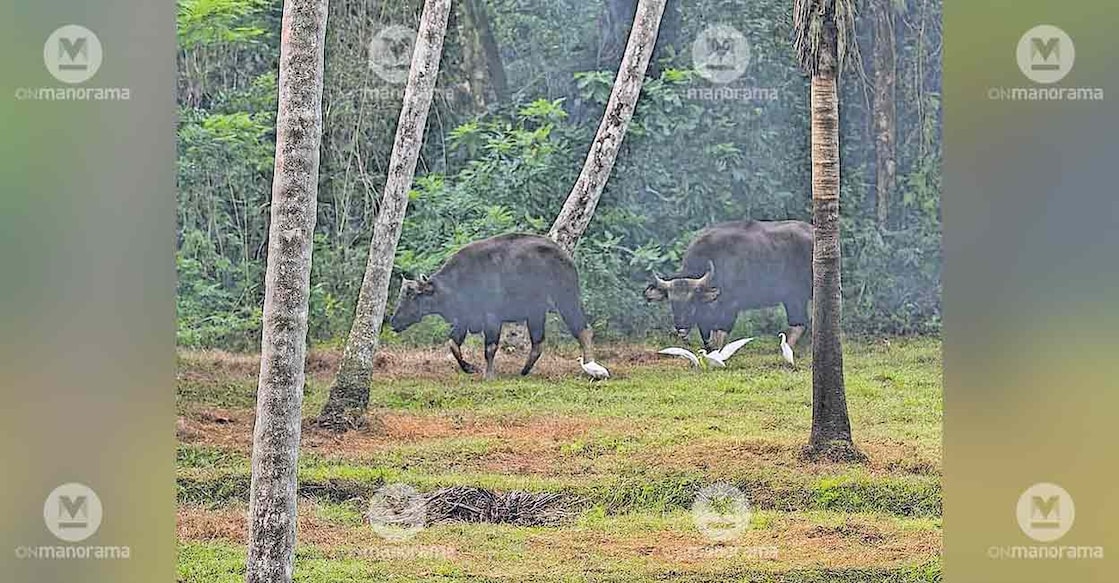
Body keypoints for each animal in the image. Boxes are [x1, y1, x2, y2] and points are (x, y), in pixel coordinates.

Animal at [390, 233, 596, 379]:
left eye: (412, 296)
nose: (393, 321)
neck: (459, 281)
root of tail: (565, 257)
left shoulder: (491, 318)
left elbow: (490, 347)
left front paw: (488, 375)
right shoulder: (463, 319)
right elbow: (453, 344)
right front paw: (469, 368)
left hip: (567, 300)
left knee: (583, 330)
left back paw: (592, 366)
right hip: (536, 313)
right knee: (538, 343)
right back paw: (524, 370)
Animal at [644, 220, 813, 353]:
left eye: (691, 300)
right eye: (672, 302)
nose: (681, 328)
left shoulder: (731, 307)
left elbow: (720, 335)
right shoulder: (705, 317)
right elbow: (708, 338)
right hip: (793, 298)